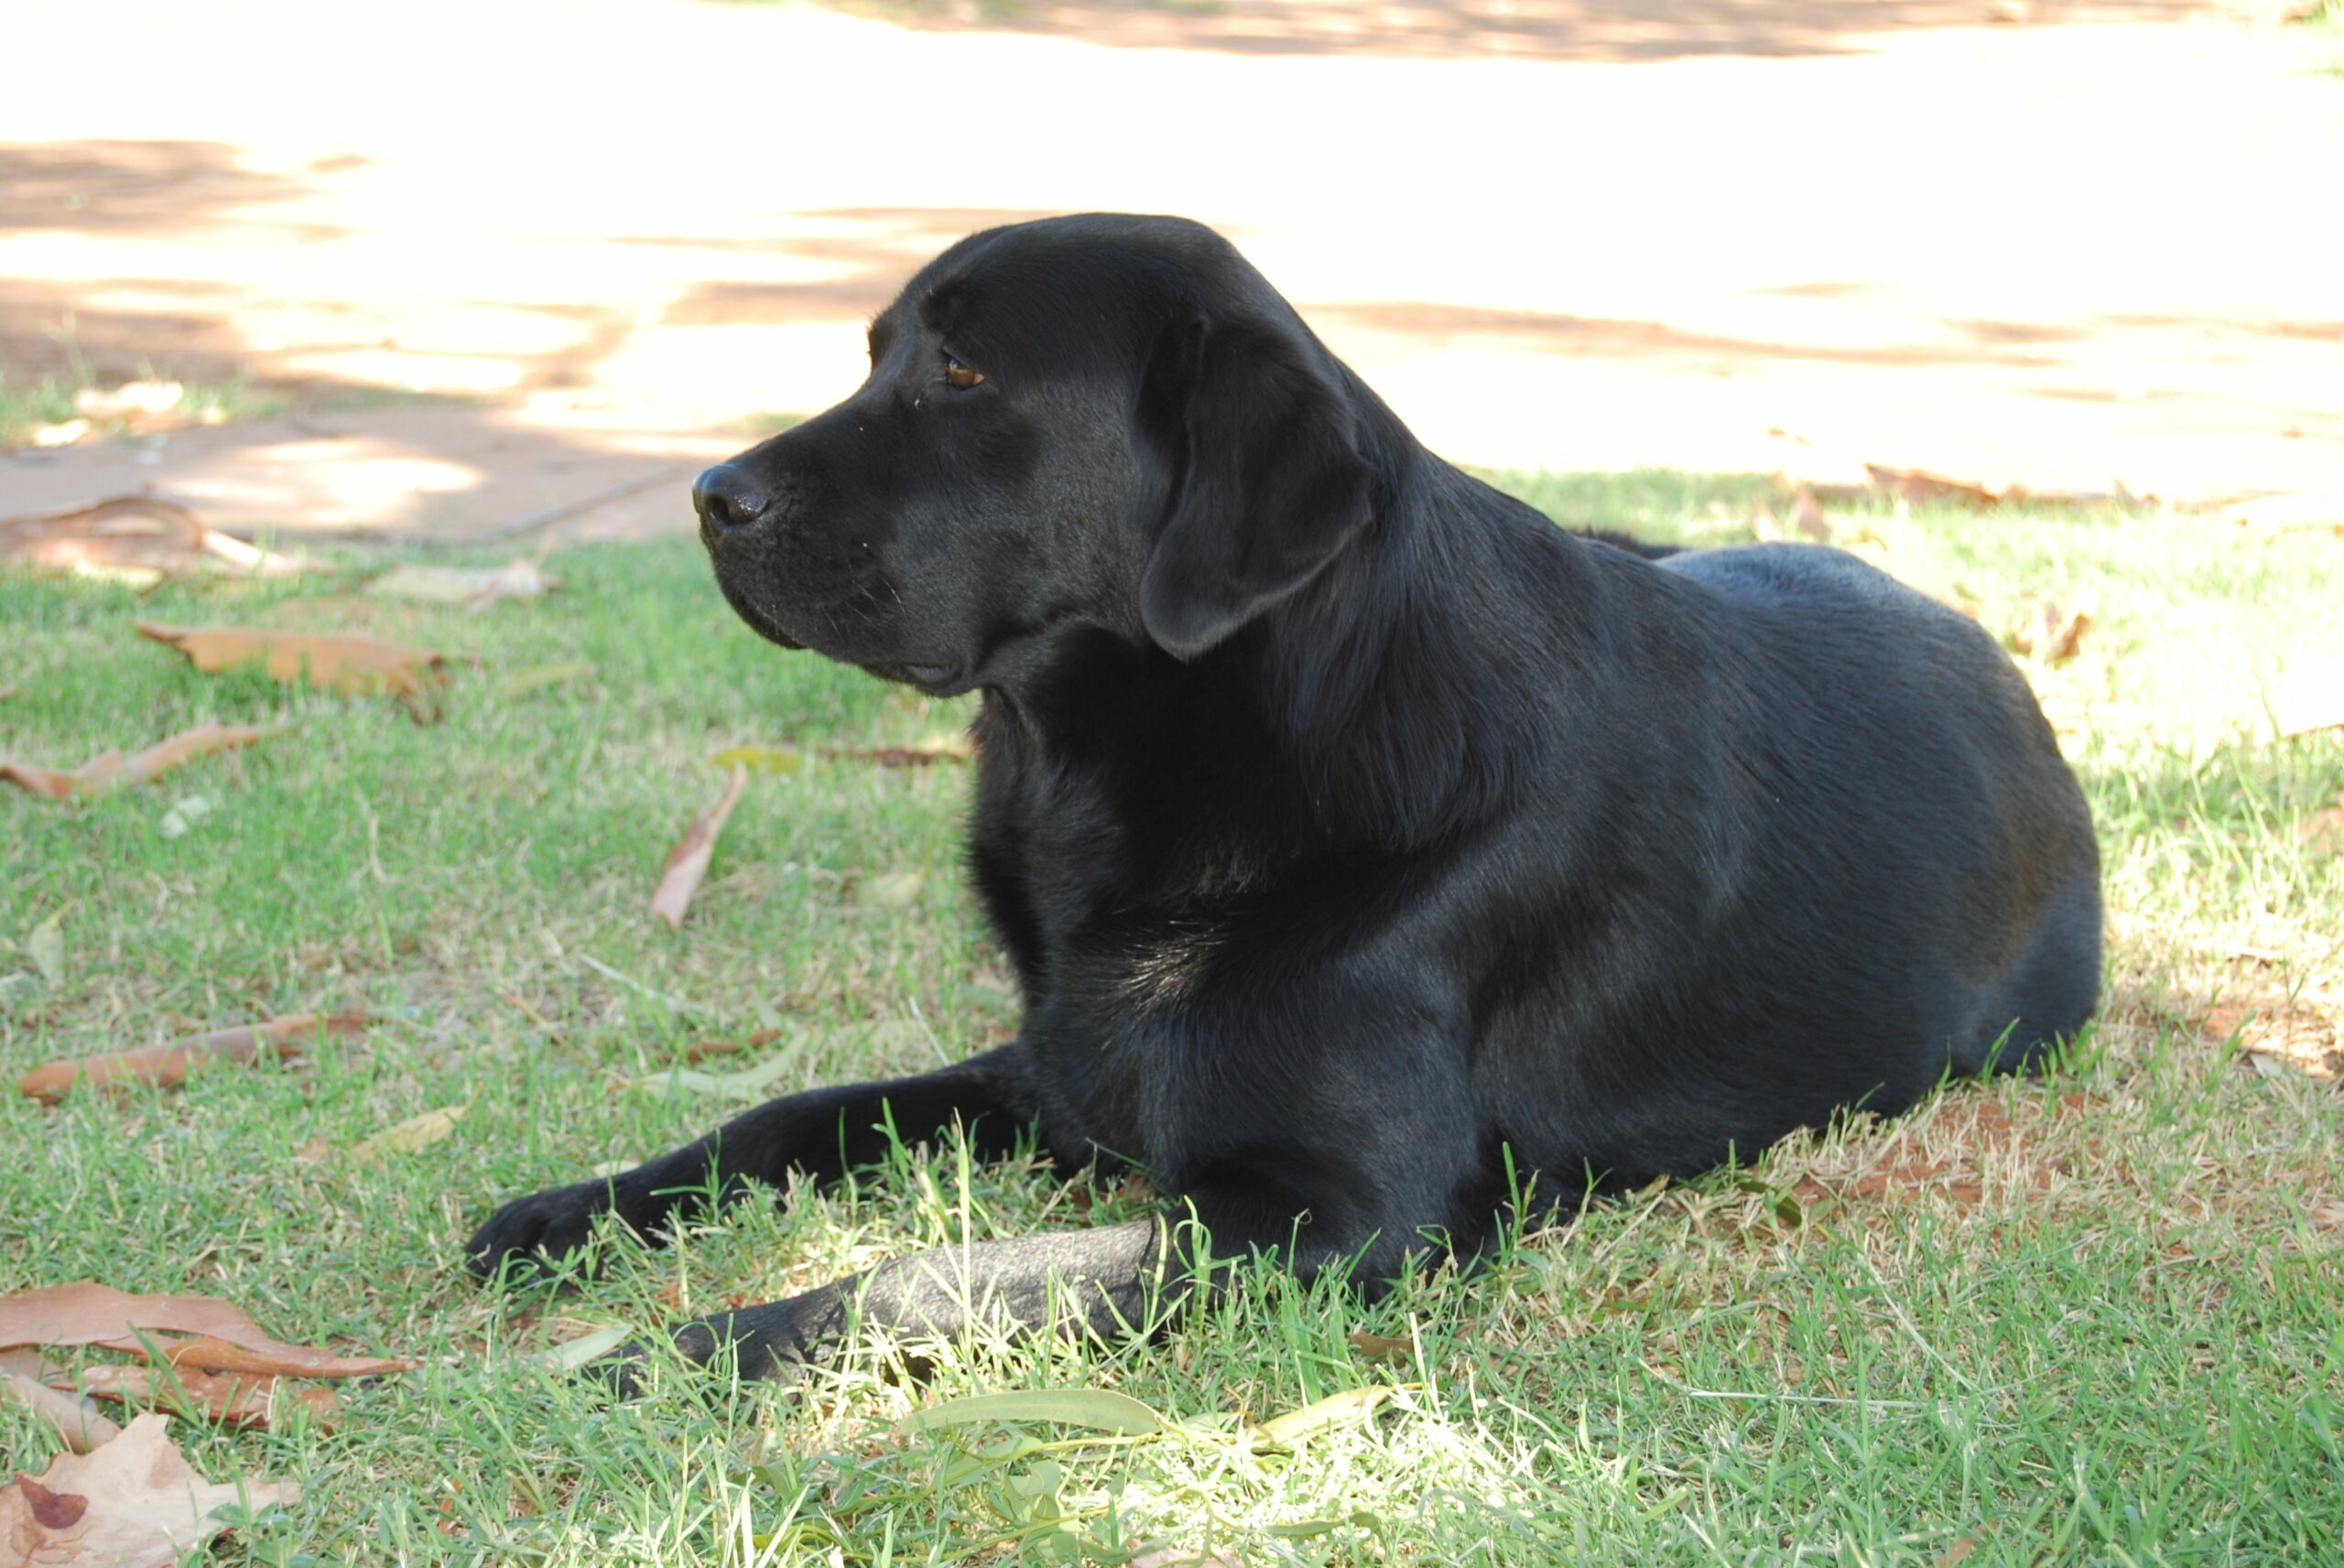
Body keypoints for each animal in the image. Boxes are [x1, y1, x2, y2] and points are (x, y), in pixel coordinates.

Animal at [461, 211, 2110, 1378]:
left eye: (966, 373)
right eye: (873, 353)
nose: (709, 499)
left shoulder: (1335, 1215)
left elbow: (939, 1275)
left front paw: (691, 1346)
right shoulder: (1052, 1066)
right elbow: (787, 1115)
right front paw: (570, 1215)